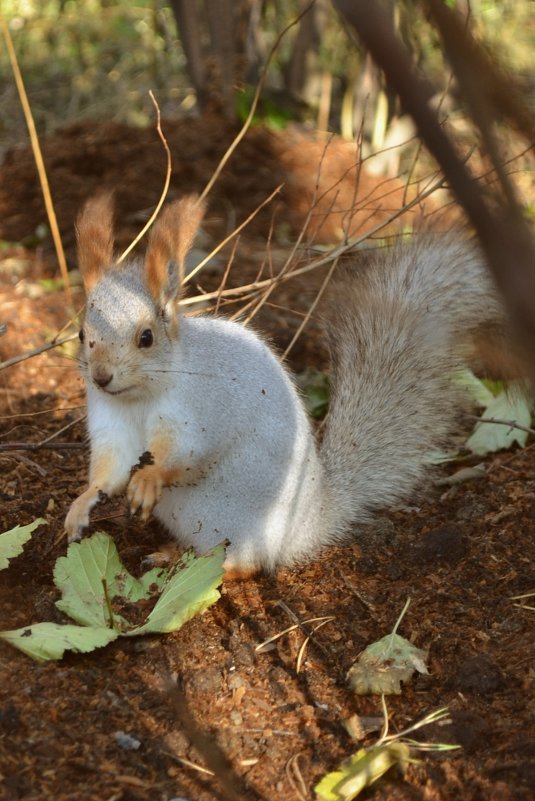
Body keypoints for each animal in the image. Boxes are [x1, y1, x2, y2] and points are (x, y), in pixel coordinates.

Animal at [63, 193, 506, 576]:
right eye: (82, 334)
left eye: (146, 337)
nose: (101, 377)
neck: (138, 398)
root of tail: (310, 526)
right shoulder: (110, 421)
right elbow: (110, 468)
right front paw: (82, 505)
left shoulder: (201, 410)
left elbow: (185, 452)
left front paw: (149, 478)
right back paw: (170, 554)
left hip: (239, 522)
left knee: (243, 565)